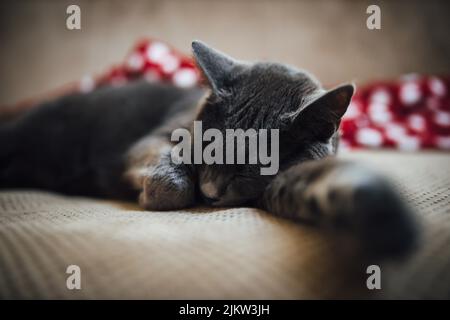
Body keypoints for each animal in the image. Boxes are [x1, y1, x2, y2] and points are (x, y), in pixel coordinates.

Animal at [0, 41, 418, 258]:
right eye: (206, 148)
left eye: (253, 167)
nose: (211, 192)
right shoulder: (157, 138)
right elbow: (169, 172)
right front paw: (156, 195)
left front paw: (381, 216)